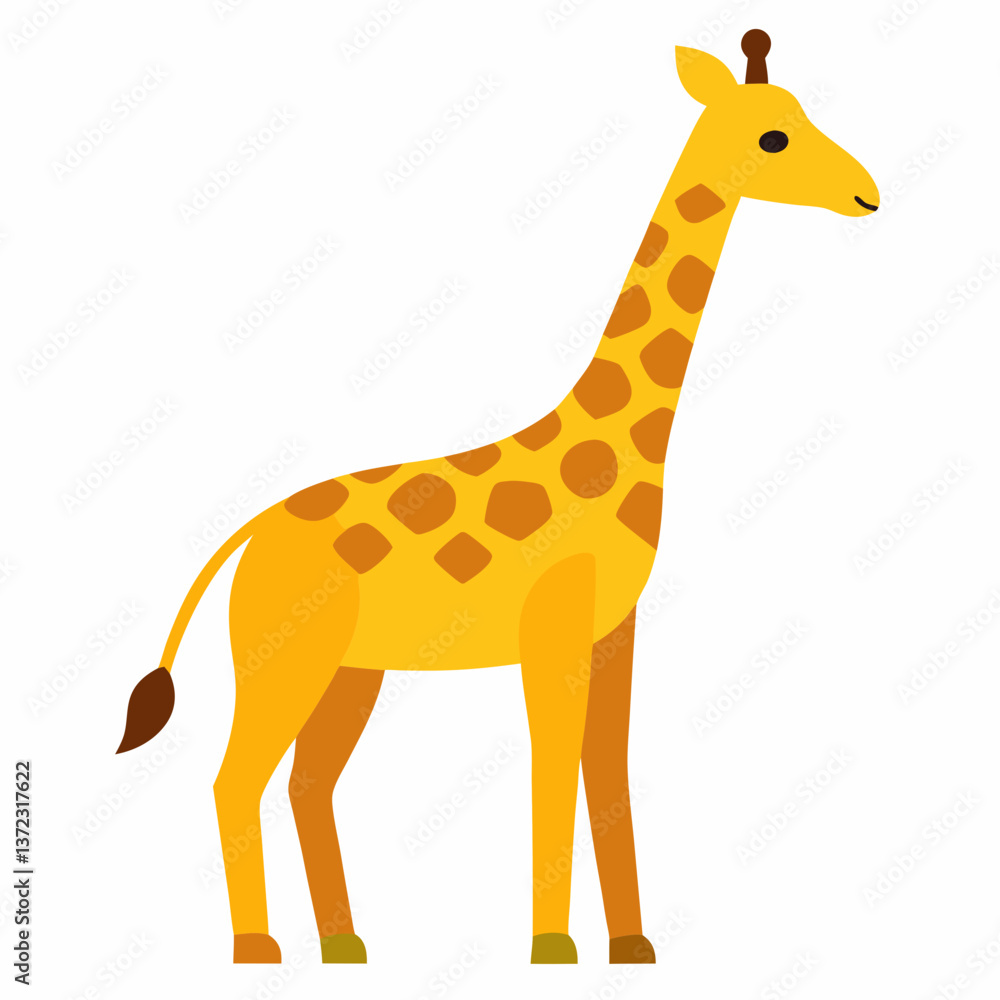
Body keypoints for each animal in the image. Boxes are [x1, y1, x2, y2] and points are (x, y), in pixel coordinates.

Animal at [116, 30, 879, 966]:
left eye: (803, 113)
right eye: (773, 137)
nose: (867, 193)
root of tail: (249, 533)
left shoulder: (614, 628)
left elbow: (607, 767)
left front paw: (632, 946)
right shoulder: (550, 629)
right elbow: (552, 763)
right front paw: (552, 947)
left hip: (351, 669)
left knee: (306, 782)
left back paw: (346, 945)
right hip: (281, 656)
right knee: (235, 778)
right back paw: (257, 950)